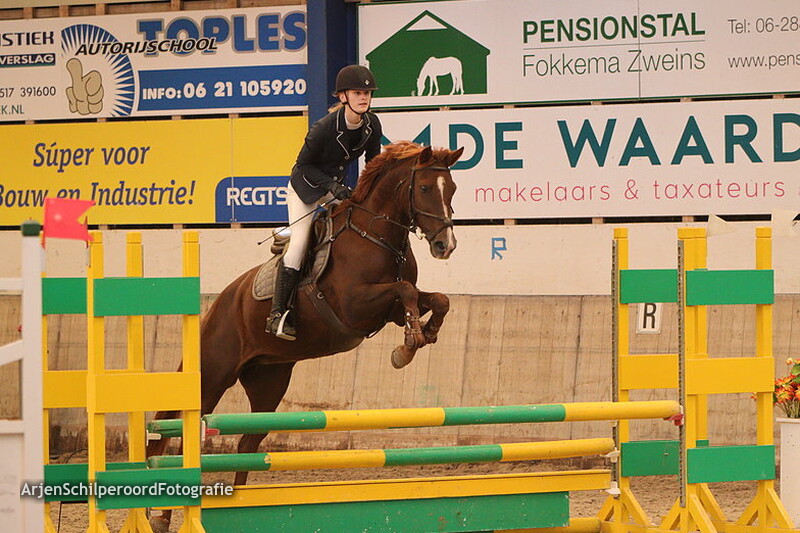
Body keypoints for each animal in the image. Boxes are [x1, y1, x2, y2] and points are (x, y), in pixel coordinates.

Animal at [147, 141, 463, 532]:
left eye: (452, 190)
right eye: (424, 188)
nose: (445, 245)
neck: (374, 234)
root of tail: (218, 305)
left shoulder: (387, 308)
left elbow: (436, 299)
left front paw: (421, 335)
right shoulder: (356, 305)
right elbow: (404, 290)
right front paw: (409, 344)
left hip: (269, 379)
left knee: (247, 443)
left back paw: (240, 504)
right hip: (215, 375)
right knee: (181, 436)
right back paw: (162, 517)